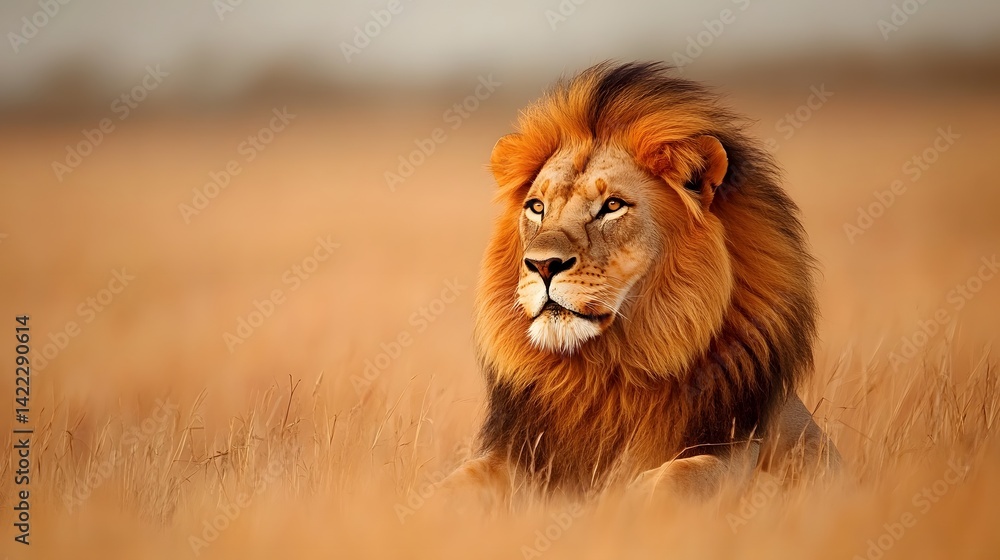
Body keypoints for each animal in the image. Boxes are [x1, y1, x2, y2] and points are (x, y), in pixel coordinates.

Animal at [444, 62, 840, 507]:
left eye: (613, 206)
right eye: (537, 207)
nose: (542, 265)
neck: (606, 370)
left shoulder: (741, 450)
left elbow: (685, 475)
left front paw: (623, 500)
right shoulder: (526, 454)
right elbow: (458, 481)